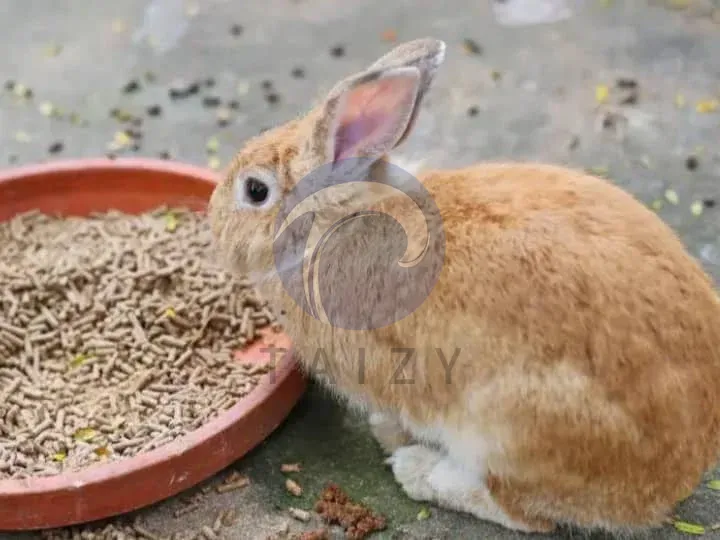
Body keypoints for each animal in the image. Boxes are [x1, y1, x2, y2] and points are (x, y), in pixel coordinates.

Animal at [207, 38, 720, 534]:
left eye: (255, 191)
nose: (215, 226)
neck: (330, 223)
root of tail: (673, 479)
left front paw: (389, 433)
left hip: (510, 429)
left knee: (525, 514)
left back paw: (418, 471)